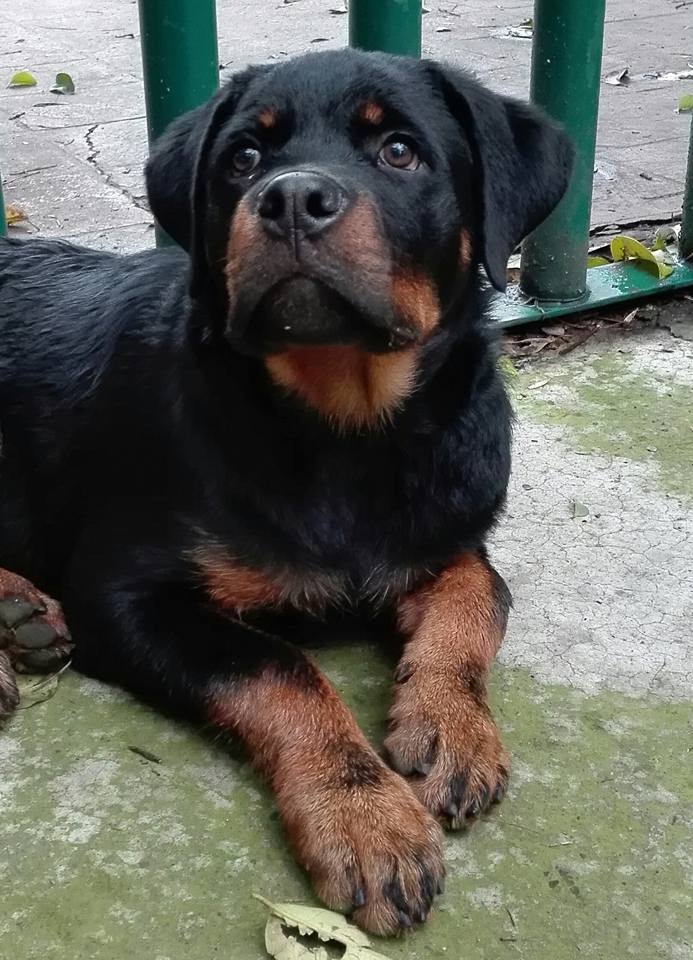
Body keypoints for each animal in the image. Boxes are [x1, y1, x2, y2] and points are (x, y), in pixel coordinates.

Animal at [0, 48, 572, 932]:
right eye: (243, 157)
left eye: (399, 151)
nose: (291, 197)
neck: (341, 427)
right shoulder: (122, 593)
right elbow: (277, 667)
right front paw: (363, 814)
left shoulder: (454, 534)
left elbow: (477, 600)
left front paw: (450, 726)